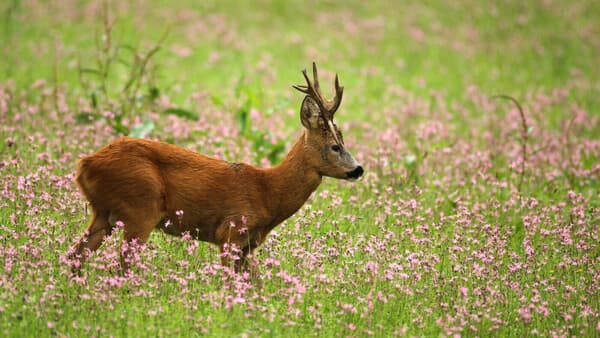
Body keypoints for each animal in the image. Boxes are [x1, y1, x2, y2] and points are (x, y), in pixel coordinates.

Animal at [68, 62, 364, 274]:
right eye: (334, 146)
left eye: (343, 140)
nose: (358, 169)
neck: (268, 192)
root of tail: (85, 163)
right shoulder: (230, 232)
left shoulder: (248, 246)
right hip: (141, 206)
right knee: (122, 265)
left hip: (104, 213)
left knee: (75, 256)